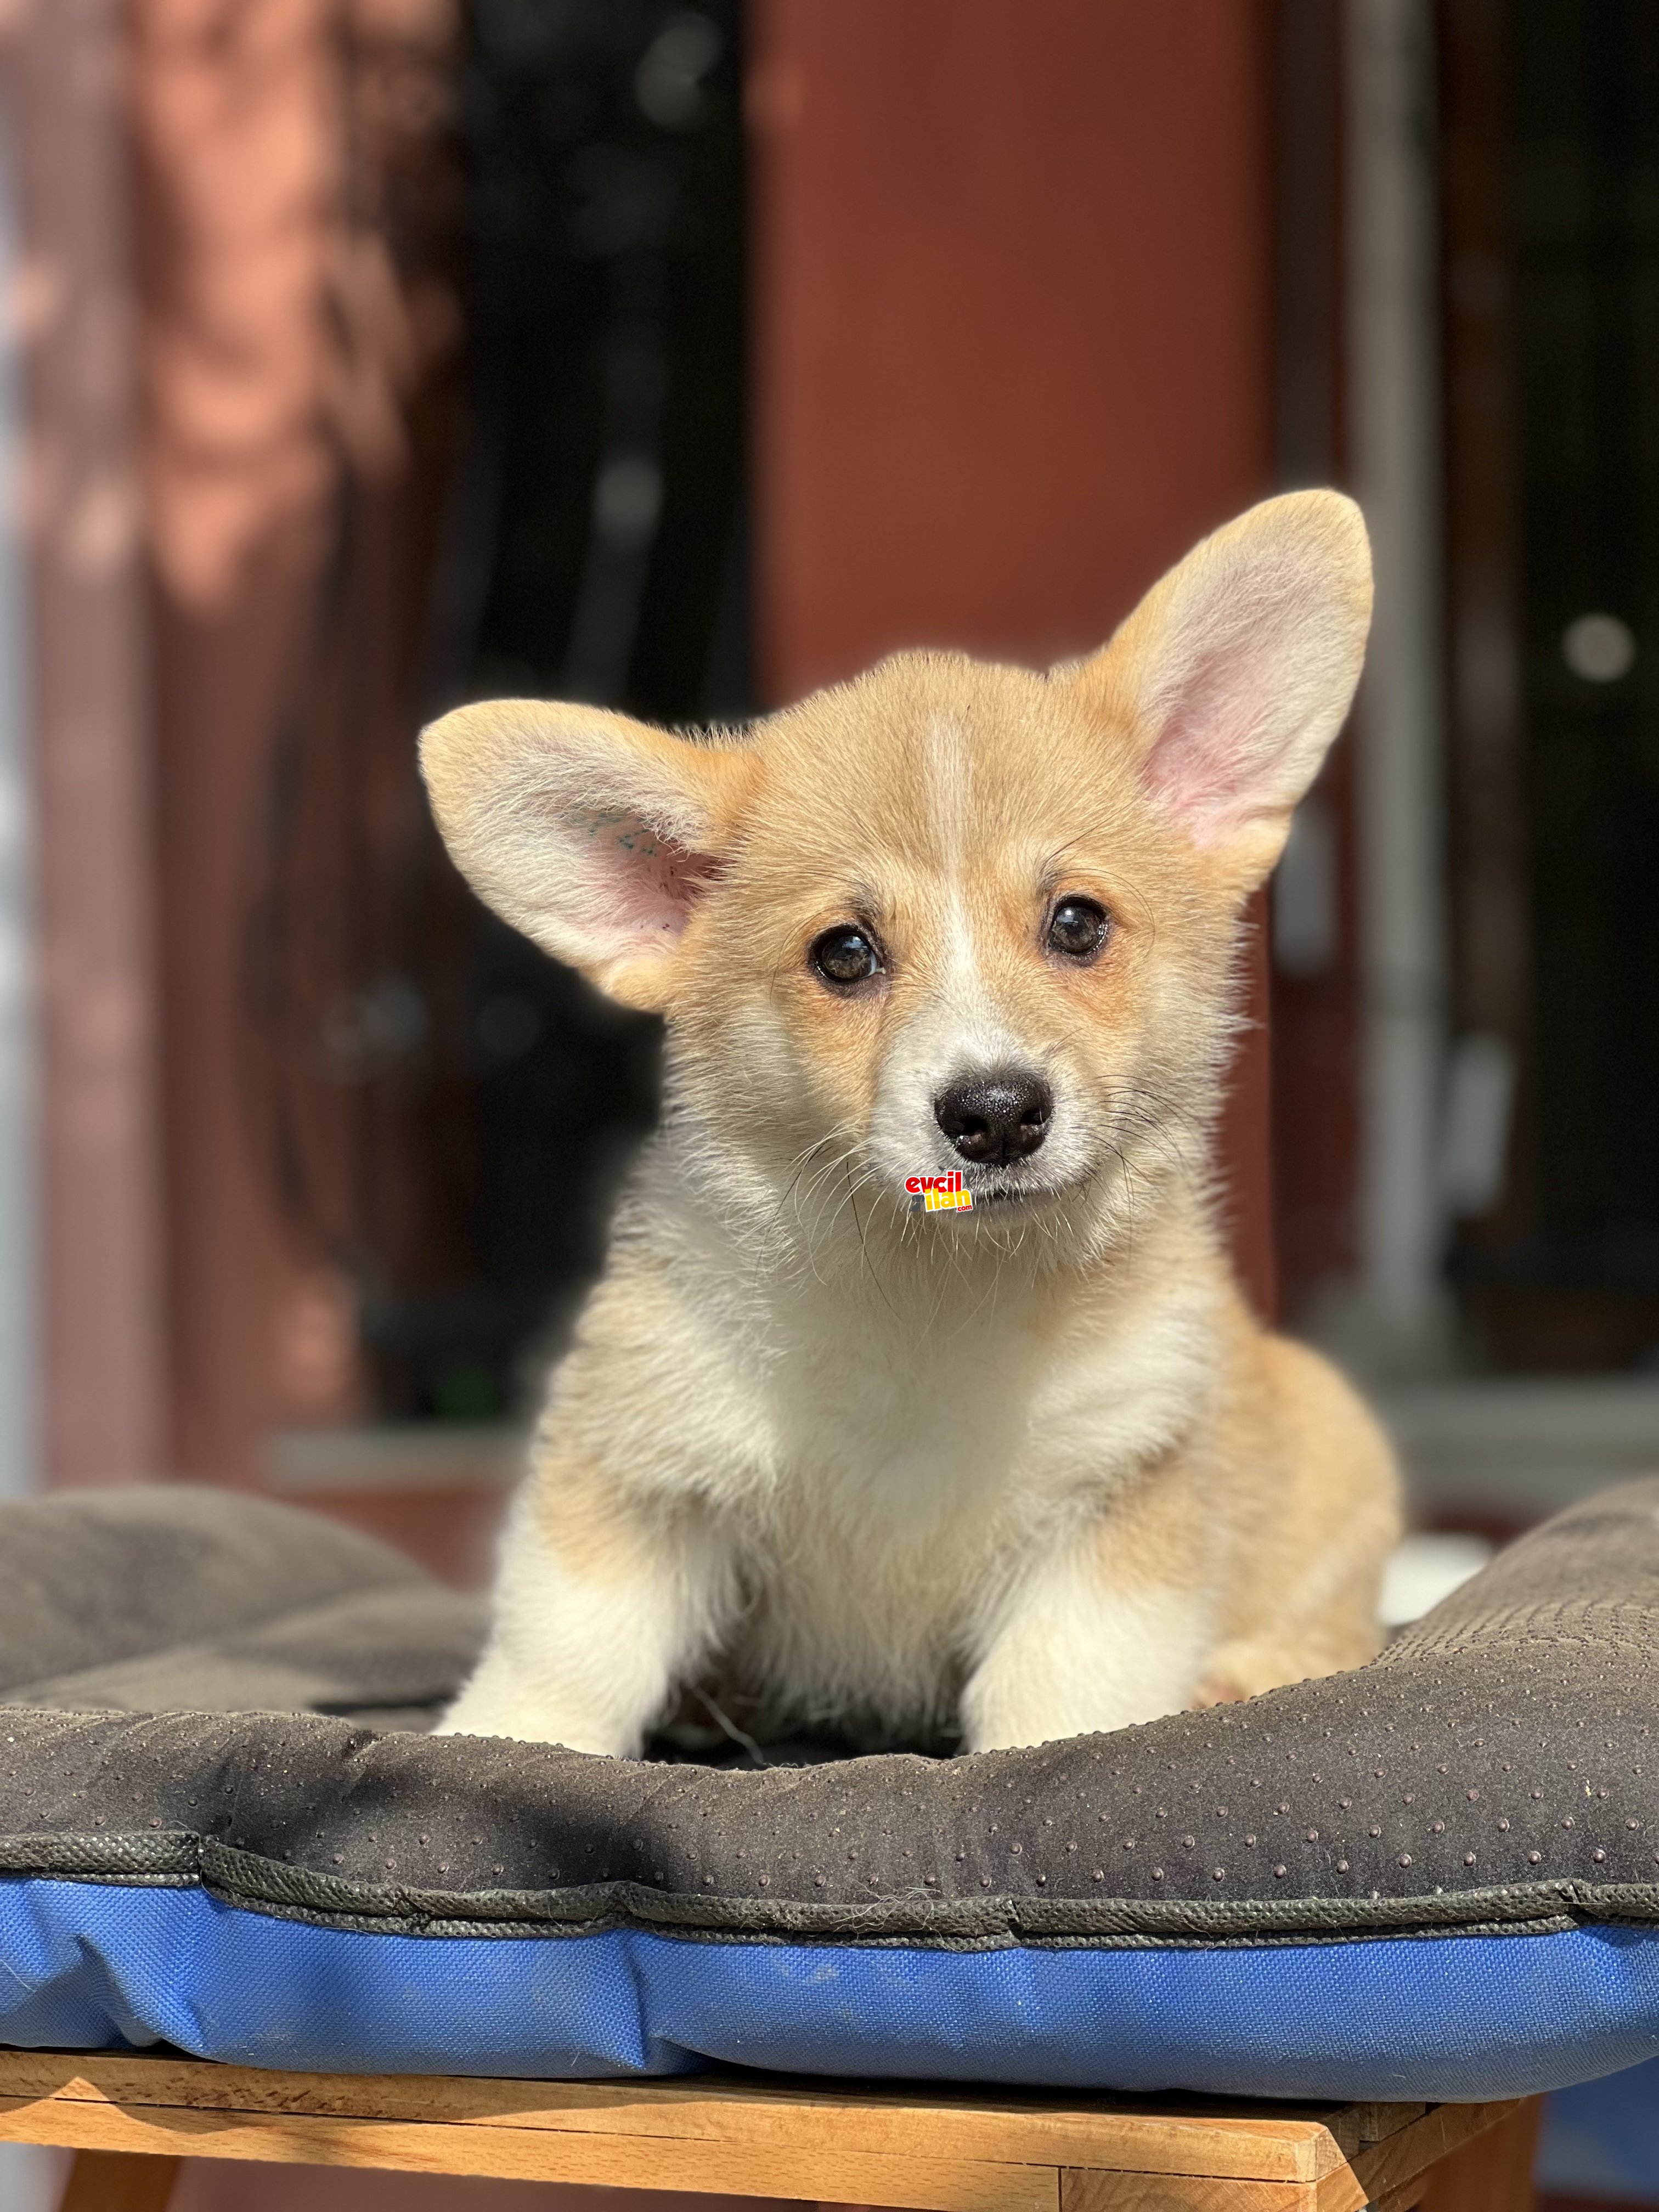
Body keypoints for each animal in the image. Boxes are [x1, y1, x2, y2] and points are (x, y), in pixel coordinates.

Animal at [418, 493, 1407, 1752]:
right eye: (843, 952)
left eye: (1076, 922)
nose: (994, 1114)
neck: (930, 1284)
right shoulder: (641, 1452)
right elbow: (566, 1643)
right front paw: (504, 1740)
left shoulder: (1116, 1503)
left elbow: (1060, 1696)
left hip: (1332, 1448)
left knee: (1337, 1625)